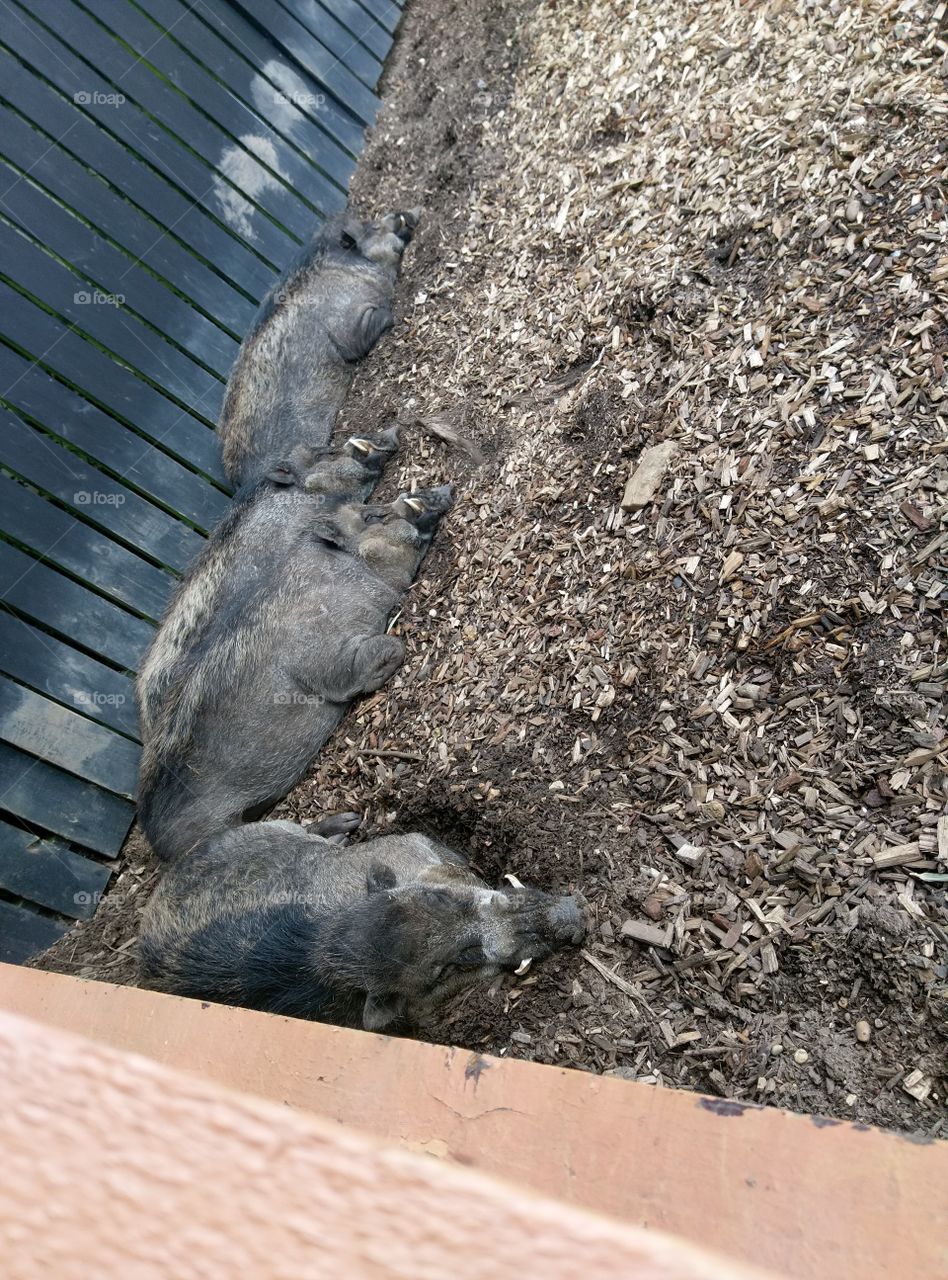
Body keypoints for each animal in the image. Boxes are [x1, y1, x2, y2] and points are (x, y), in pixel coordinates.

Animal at [136, 455, 453, 862]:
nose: (444, 489)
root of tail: (157, 845)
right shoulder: (327, 657)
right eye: (373, 516)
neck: (352, 571)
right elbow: (385, 650)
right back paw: (346, 827)